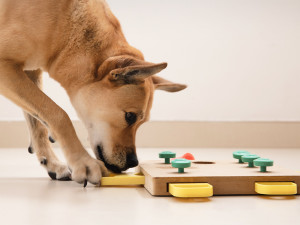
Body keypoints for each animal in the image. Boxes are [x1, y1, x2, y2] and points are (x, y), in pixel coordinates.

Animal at [0, 0, 186, 186]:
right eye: (130, 116)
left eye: (142, 121)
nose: (133, 162)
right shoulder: (6, 69)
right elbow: (58, 115)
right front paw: (83, 162)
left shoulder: (31, 71)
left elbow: (38, 125)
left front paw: (52, 163)